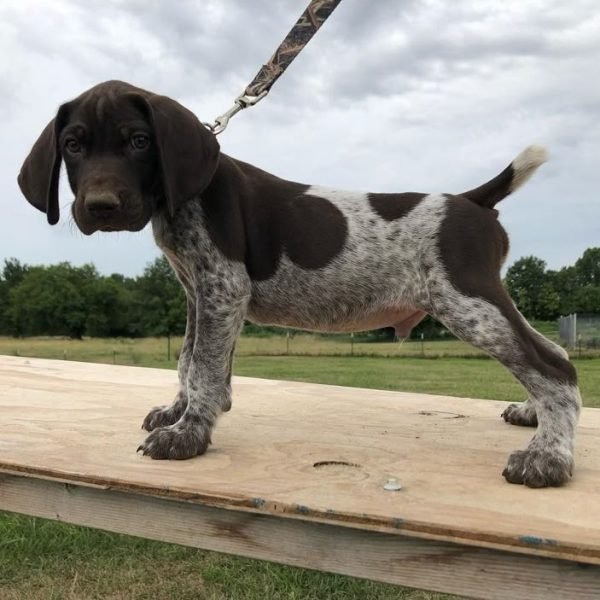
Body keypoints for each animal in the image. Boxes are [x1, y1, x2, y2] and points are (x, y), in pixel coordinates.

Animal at [18, 81, 580, 488]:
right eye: (72, 145)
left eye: (138, 141)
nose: (101, 207)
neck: (183, 198)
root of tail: (470, 200)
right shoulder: (200, 291)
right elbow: (189, 359)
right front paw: (179, 412)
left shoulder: (223, 286)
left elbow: (203, 367)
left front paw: (189, 435)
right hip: (482, 299)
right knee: (550, 350)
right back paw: (534, 416)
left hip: (466, 300)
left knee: (555, 366)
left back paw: (549, 458)